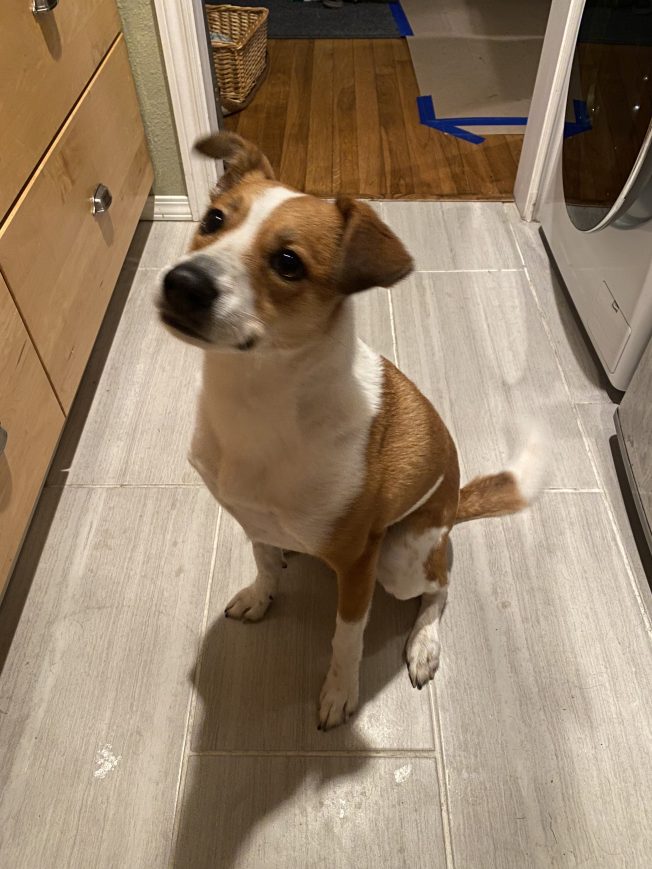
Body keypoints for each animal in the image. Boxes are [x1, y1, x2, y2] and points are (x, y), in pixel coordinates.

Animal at [158, 132, 545, 730]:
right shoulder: (251, 518)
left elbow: (347, 638)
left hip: (401, 560)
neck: (255, 397)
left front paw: (340, 693)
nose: (182, 283)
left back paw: (424, 644)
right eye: (213, 218)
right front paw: (260, 595)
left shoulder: (358, 563)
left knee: (440, 586)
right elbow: (265, 564)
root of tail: (455, 503)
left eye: (288, 262)